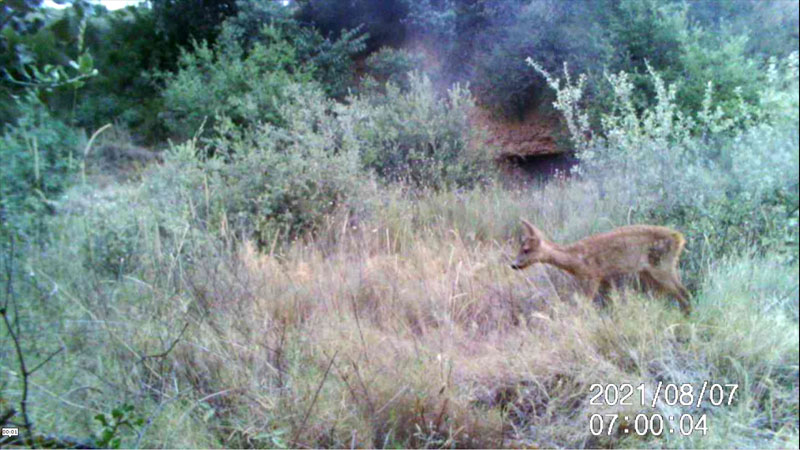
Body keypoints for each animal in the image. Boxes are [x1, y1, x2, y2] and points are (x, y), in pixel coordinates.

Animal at [516, 220, 692, 314]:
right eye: (519, 248)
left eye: (526, 249)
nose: (514, 265)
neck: (575, 259)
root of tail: (680, 238)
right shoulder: (605, 277)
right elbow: (610, 300)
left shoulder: (592, 275)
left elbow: (585, 304)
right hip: (648, 270)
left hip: (662, 265)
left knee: (683, 292)